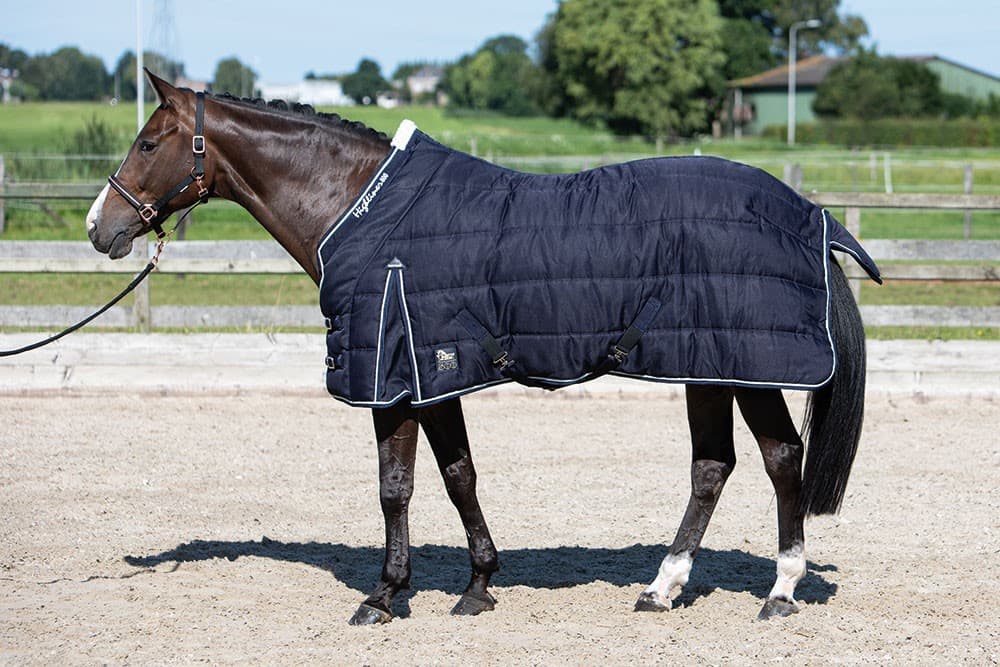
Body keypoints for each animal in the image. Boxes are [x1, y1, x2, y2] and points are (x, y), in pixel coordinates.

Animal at [87, 71, 876, 625]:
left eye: (148, 142)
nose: (100, 226)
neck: (359, 209)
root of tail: (810, 214)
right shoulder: (433, 375)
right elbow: (458, 474)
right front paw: (478, 584)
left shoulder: (392, 377)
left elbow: (396, 486)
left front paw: (384, 596)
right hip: (706, 365)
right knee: (713, 467)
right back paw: (662, 588)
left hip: (748, 367)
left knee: (781, 460)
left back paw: (778, 591)